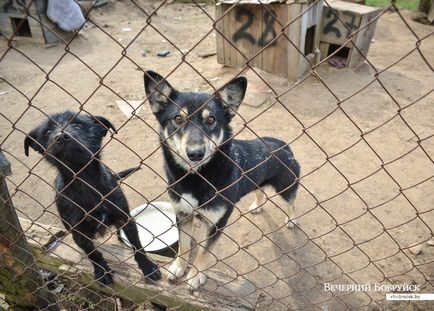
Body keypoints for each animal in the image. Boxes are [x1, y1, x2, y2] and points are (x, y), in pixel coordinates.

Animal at [24, 111, 162, 286]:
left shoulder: (125, 218)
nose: (60, 136)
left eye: (79, 124)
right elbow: (93, 253)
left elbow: (137, 245)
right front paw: (102, 271)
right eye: (47, 132)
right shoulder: (78, 232)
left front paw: (147, 267)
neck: (84, 180)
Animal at [144, 72, 300, 292]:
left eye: (211, 119)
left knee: (292, 201)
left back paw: (292, 219)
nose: (195, 154)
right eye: (178, 119)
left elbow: (203, 253)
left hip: (285, 186)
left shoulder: (218, 223)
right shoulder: (182, 214)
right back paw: (257, 205)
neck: (197, 177)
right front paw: (178, 266)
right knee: (260, 191)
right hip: (259, 180)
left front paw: (196, 275)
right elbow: (184, 244)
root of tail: (283, 145)